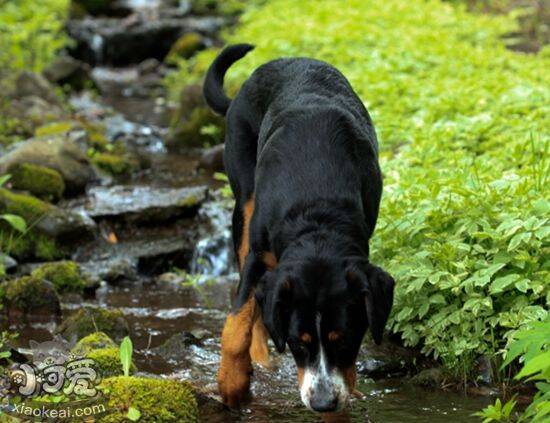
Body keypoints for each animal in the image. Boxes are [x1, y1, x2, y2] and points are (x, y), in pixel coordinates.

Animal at [205, 44, 394, 414]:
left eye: (345, 339)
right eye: (297, 342)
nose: (323, 403)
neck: (317, 213)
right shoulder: (260, 252)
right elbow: (237, 323)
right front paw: (232, 385)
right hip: (243, 203)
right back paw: (258, 358)